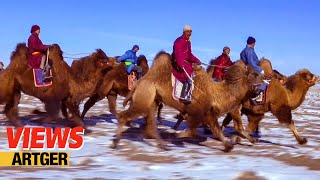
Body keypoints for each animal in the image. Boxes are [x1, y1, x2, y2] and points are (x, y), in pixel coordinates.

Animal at [112, 51, 262, 151]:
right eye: (254, 74)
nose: (263, 79)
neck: (216, 93)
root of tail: (139, 82)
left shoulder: (206, 114)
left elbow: (215, 130)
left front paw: (230, 145)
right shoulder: (198, 112)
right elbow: (194, 131)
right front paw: (173, 135)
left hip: (153, 100)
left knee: (150, 125)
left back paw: (162, 144)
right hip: (144, 99)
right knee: (125, 116)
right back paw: (115, 143)